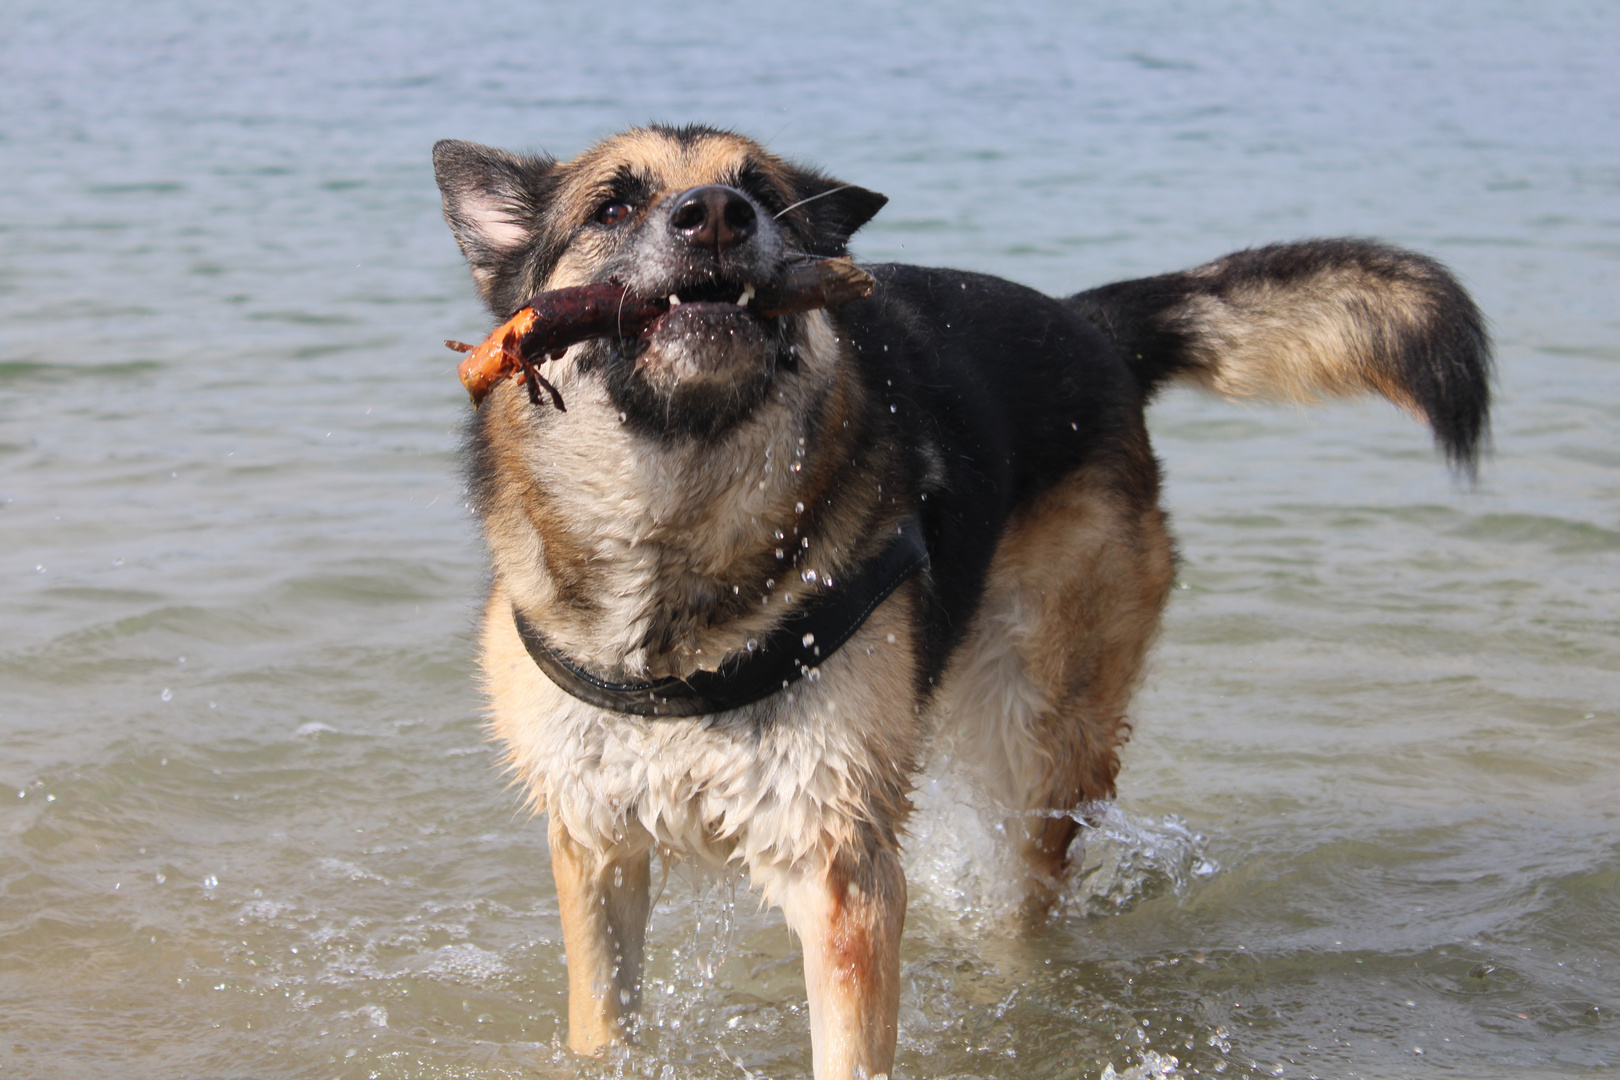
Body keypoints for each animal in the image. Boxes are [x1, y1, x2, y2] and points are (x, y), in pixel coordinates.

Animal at [434, 128, 1490, 1080]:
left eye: (765, 198)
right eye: (613, 207)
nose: (718, 218)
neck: (676, 549)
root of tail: (1088, 322)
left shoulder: (838, 870)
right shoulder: (596, 849)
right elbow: (602, 1023)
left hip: (1036, 740)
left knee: (1024, 907)